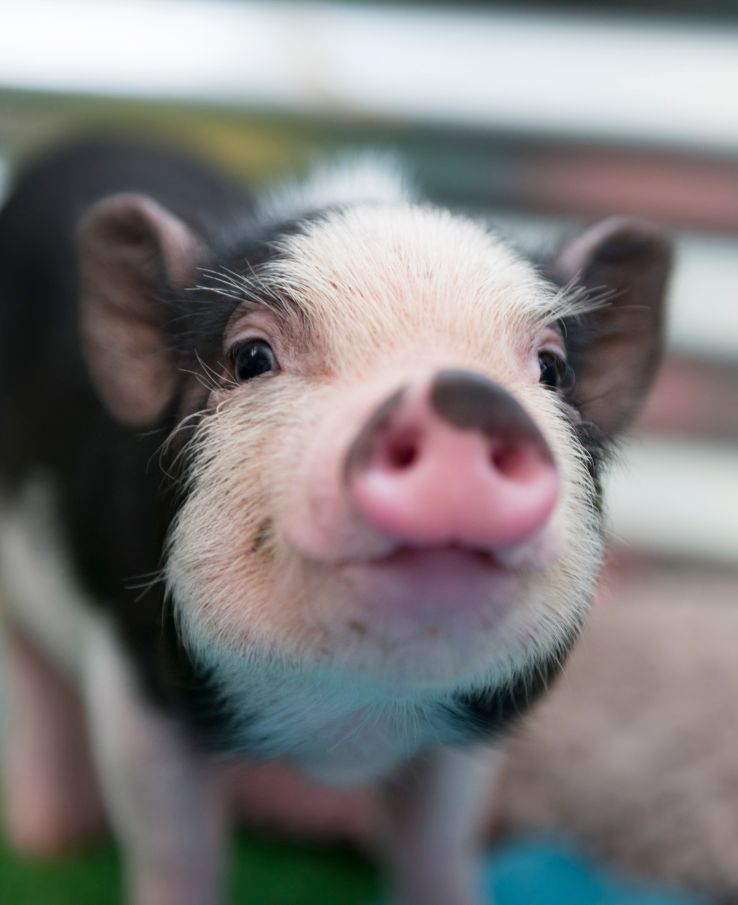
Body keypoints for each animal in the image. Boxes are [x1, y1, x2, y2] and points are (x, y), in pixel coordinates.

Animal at [0, 137, 671, 905]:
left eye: (552, 369)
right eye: (250, 357)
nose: (463, 398)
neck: (347, 722)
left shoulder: (465, 729)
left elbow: (439, 843)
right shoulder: (136, 680)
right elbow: (176, 847)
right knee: (32, 682)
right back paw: (51, 842)